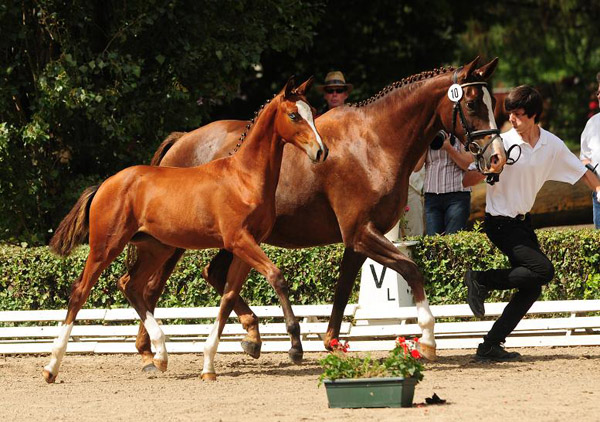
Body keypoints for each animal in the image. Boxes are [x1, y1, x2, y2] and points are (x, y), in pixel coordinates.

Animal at [44, 76, 326, 382]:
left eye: (312, 111)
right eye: (294, 115)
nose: (321, 151)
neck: (244, 179)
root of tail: (106, 184)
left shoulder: (247, 245)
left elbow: (228, 298)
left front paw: (209, 366)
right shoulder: (239, 241)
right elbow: (277, 277)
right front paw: (295, 347)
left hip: (157, 249)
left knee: (132, 286)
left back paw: (160, 355)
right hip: (105, 247)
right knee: (80, 292)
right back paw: (52, 367)